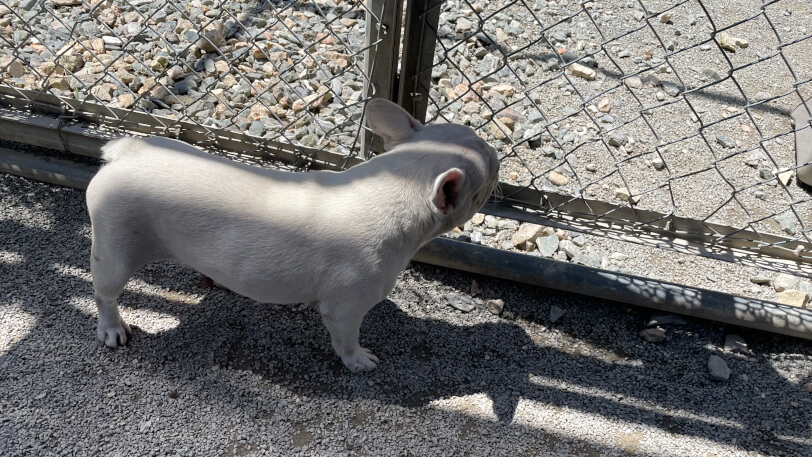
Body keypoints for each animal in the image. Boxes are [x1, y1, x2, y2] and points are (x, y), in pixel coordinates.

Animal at [85, 99, 498, 370]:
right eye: (487, 176)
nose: (497, 154)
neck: (397, 183)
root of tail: (127, 152)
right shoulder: (346, 307)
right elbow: (346, 339)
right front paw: (359, 361)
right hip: (116, 246)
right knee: (105, 294)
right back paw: (112, 329)